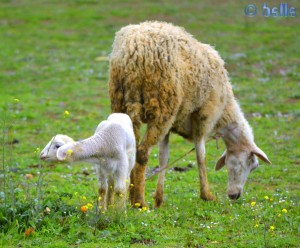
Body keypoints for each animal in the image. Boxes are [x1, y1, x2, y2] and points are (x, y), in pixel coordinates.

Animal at [108, 20, 272, 207]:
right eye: (252, 165)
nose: (234, 196)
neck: (224, 112)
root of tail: (134, 49)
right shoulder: (204, 118)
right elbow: (201, 155)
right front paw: (207, 194)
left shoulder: (171, 126)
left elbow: (164, 158)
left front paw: (159, 199)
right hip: (162, 107)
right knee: (142, 153)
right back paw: (139, 202)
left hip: (122, 102)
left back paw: (128, 197)